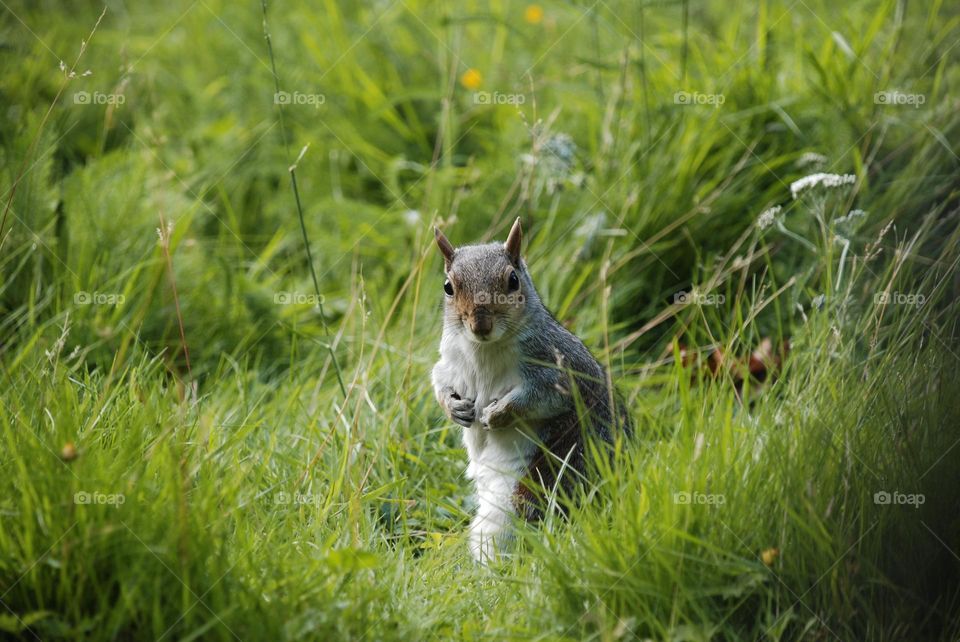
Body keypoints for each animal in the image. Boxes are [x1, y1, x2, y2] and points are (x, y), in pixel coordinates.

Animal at [430, 219, 632, 560]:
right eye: (448, 287)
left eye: (513, 280)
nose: (480, 325)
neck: (484, 349)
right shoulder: (452, 361)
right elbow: (439, 379)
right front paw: (453, 407)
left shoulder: (558, 367)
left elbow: (543, 397)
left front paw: (500, 413)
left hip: (535, 487)